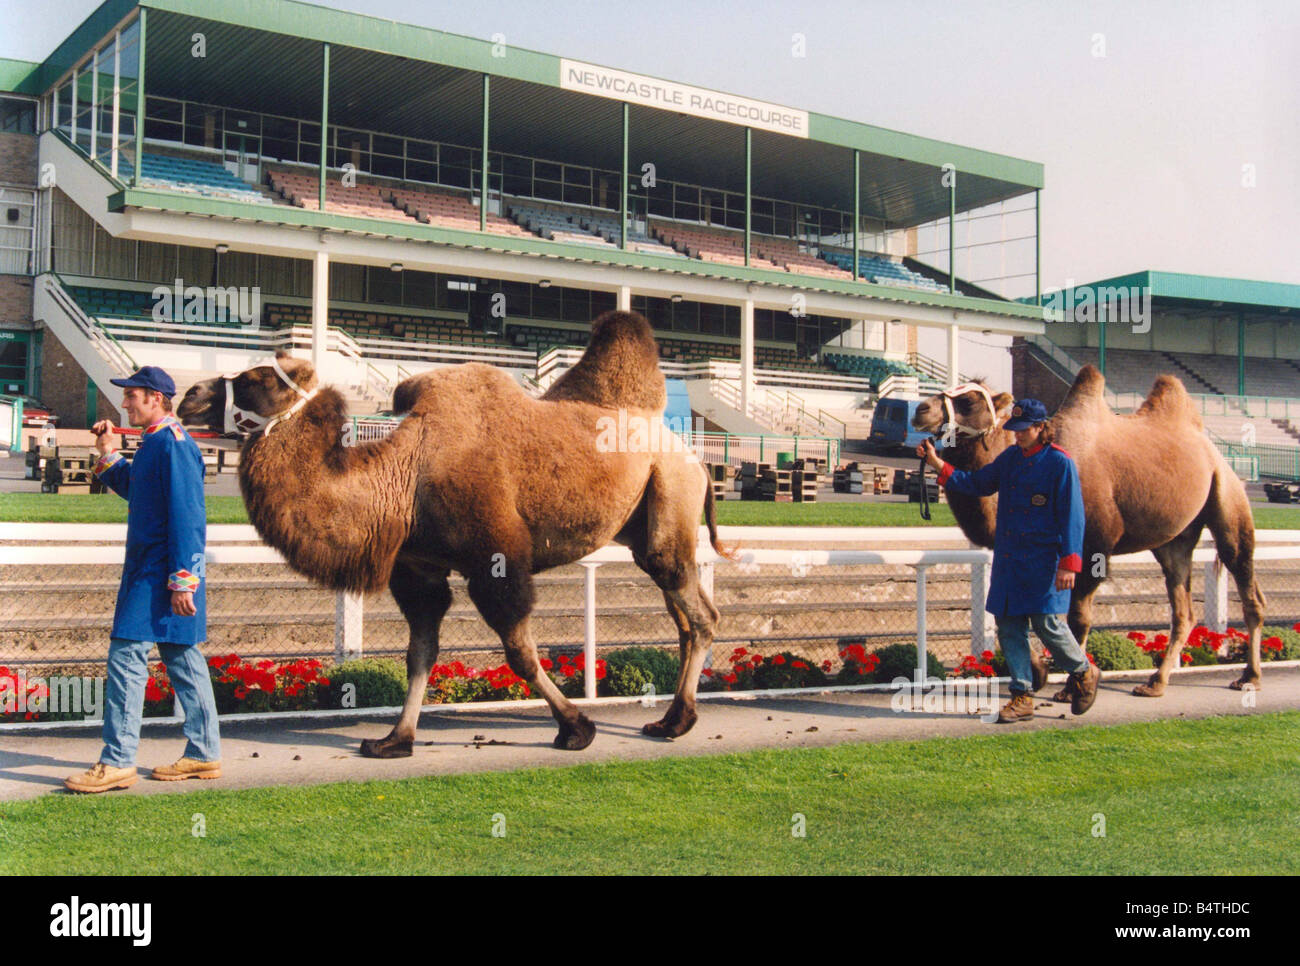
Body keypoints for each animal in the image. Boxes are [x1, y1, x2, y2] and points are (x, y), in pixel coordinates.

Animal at [179, 313, 733, 759]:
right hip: (646, 525)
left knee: (700, 613)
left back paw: (677, 721)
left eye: (254, 379)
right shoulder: (418, 569)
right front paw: (395, 739)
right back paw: (671, 718)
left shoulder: (497, 560)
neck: (403, 478)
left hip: (670, 497)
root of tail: (694, 457)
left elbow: (520, 654)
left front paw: (576, 727)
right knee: (684, 616)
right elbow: (419, 653)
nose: (189, 396)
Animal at [909, 369, 1263, 696]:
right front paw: (1040, 672)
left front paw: (1071, 686)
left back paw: (1249, 677)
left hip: (1227, 496)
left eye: (968, 401)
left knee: (1245, 582)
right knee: (1183, 610)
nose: (920, 410)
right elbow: (1016, 613)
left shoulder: (1094, 547)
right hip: (1175, 540)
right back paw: (1155, 682)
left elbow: (1076, 618)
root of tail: (1212, 450)